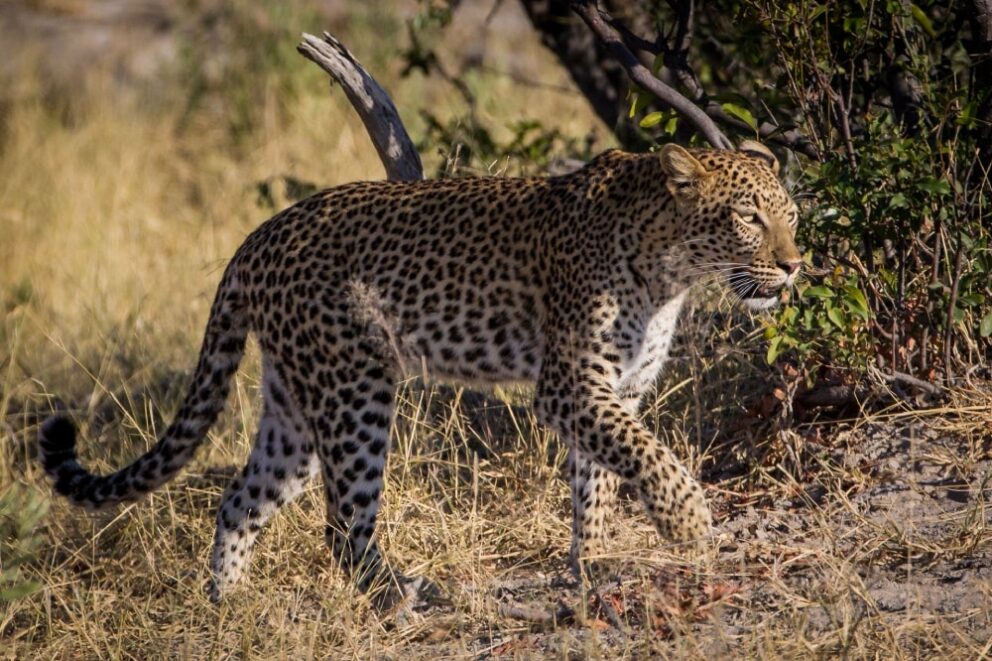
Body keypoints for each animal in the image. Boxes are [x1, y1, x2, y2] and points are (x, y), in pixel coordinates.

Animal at [39, 140, 803, 603]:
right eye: (747, 217)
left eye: (791, 214)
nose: (795, 265)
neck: (670, 269)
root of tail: (257, 237)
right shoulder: (571, 385)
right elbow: (647, 455)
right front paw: (689, 522)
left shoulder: (616, 388)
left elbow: (601, 479)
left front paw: (591, 561)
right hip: (353, 391)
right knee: (342, 525)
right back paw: (401, 596)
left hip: (293, 404)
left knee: (241, 499)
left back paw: (229, 605)